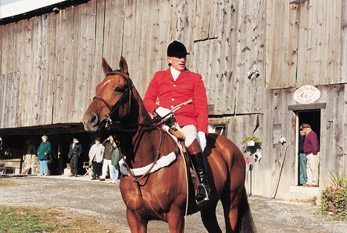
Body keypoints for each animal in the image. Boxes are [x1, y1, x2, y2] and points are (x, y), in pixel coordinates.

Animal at [81, 56, 256, 233]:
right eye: (97, 87)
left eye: (118, 88)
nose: (89, 119)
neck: (145, 157)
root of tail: (233, 148)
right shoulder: (134, 217)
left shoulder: (175, 216)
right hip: (208, 207)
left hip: (231, 203)